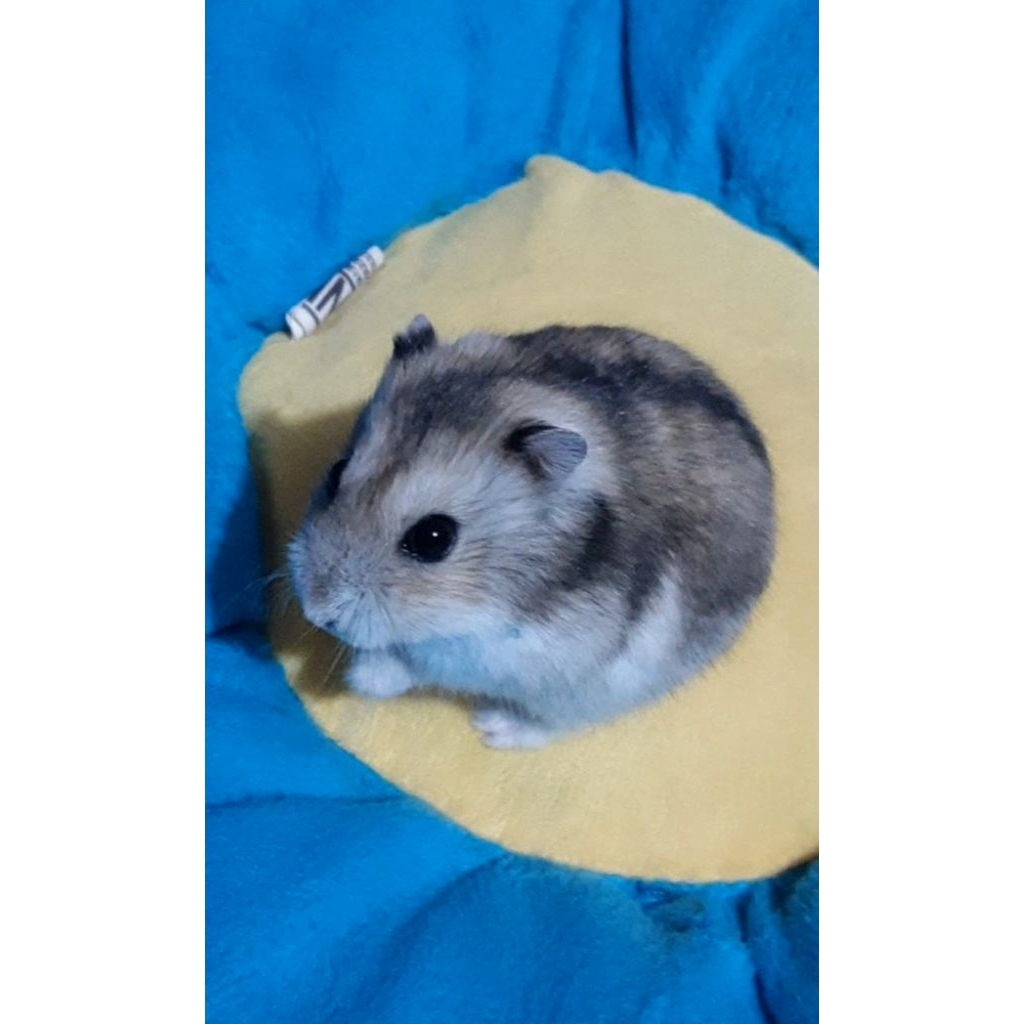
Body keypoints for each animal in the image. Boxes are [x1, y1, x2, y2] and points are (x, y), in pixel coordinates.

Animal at [288, 316, 775, 749]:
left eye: (433, 538)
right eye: (336, 472)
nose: (316, 612)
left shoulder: (504, 656)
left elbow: (419, 662)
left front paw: (360, 678)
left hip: (585, 697)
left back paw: (494, 728)